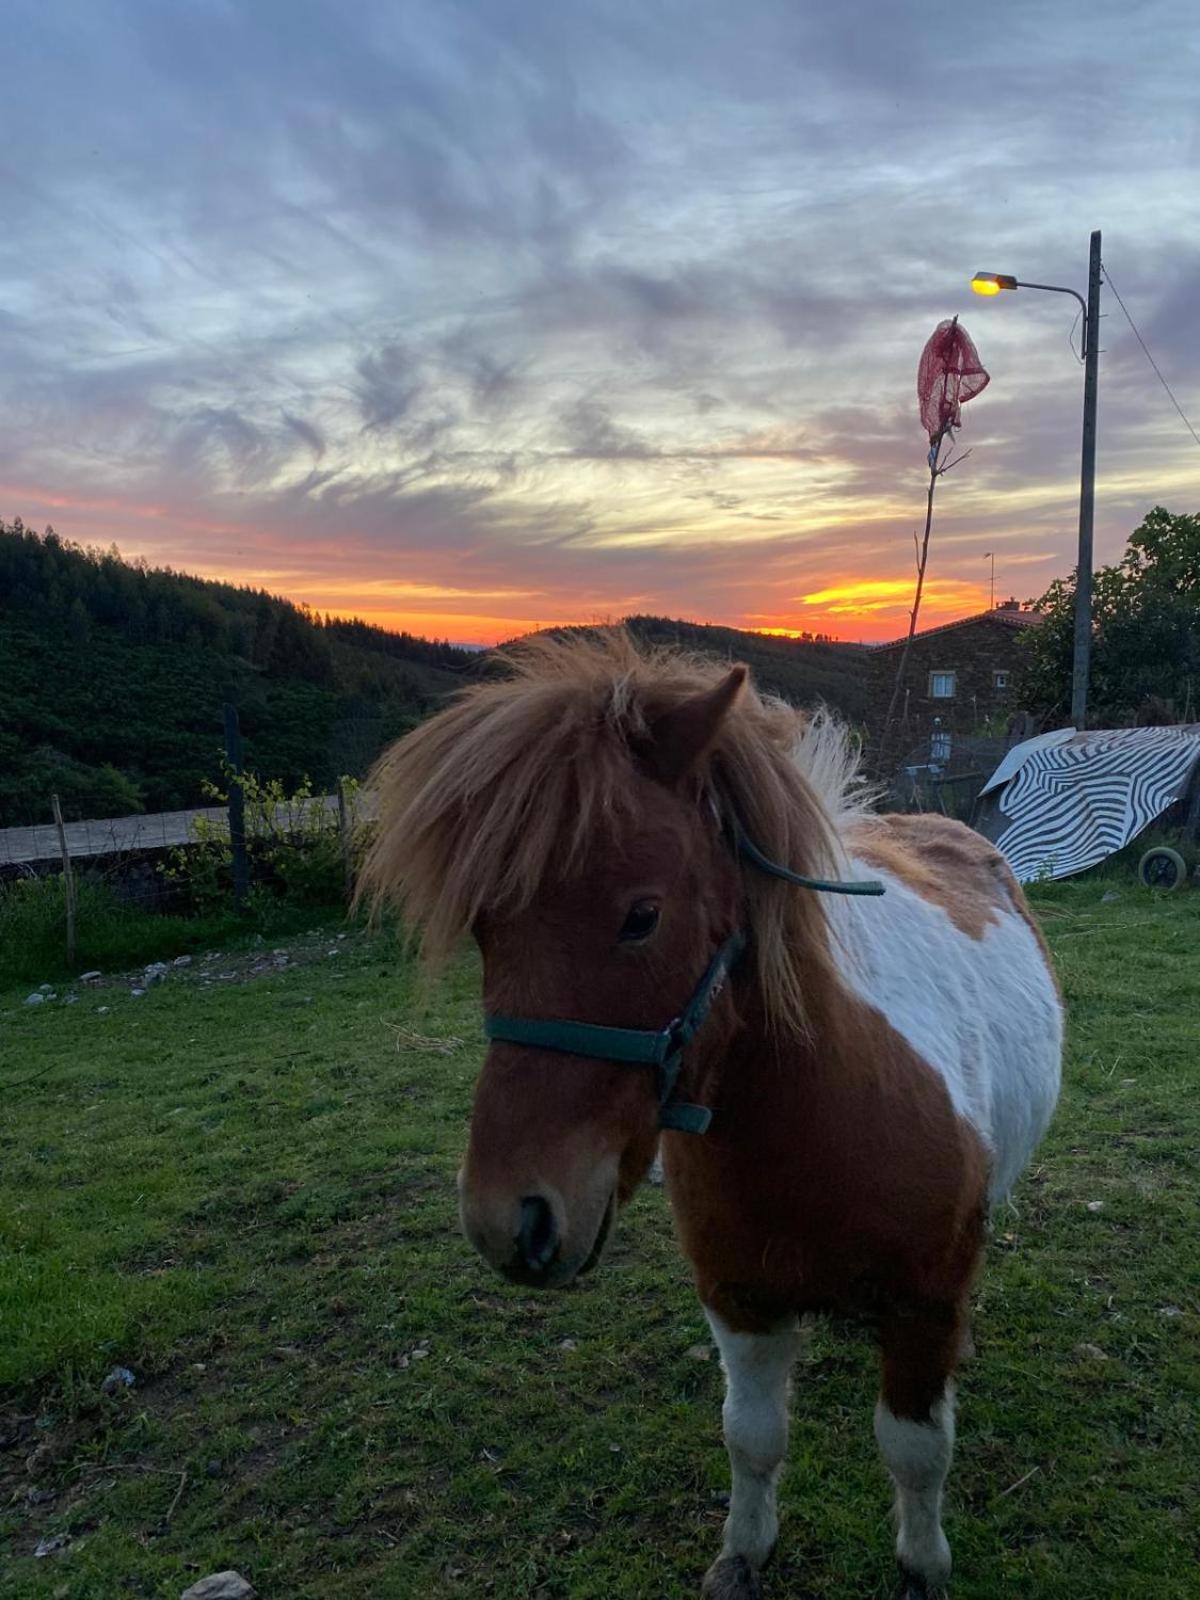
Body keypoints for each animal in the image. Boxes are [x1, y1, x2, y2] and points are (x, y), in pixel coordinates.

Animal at [360, 630, 1062, 1593]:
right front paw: (744, 1551)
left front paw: (922, 1564)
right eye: (483, 929)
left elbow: (917, 1451)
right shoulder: (739, 1299)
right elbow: (752, 1438)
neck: (822, 1119)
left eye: (641, 916)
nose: (511, 1221)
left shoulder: (924, 1305)